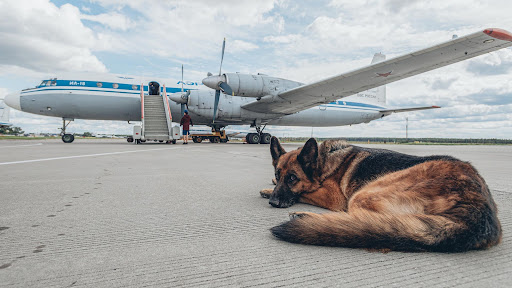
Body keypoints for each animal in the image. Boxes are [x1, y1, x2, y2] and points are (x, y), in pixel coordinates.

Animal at [262, 137, 502, 252]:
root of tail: (479, 205)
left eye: (292, 178)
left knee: (358, 219)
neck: (323, 162)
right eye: (278, 174)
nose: (273, 202)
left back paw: (305, 216)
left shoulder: (333, 196)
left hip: (364, 194)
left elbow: (306, 192)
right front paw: (268, 187)